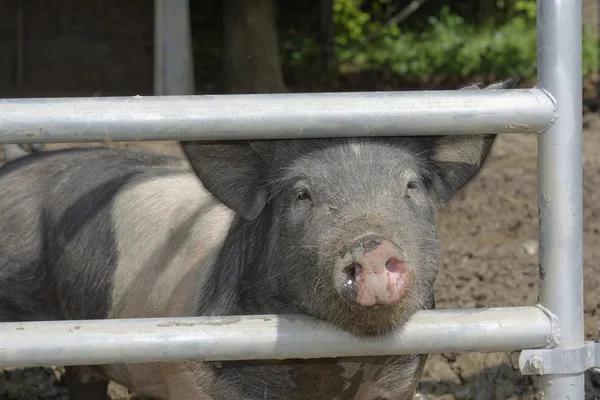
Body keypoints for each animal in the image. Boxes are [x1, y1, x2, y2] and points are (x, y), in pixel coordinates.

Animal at [0, 76, 516, 398]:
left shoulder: (401, 377)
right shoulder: (195, 375)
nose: (371, 246)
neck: (326, 372)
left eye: (411, 186)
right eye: (302, 194)